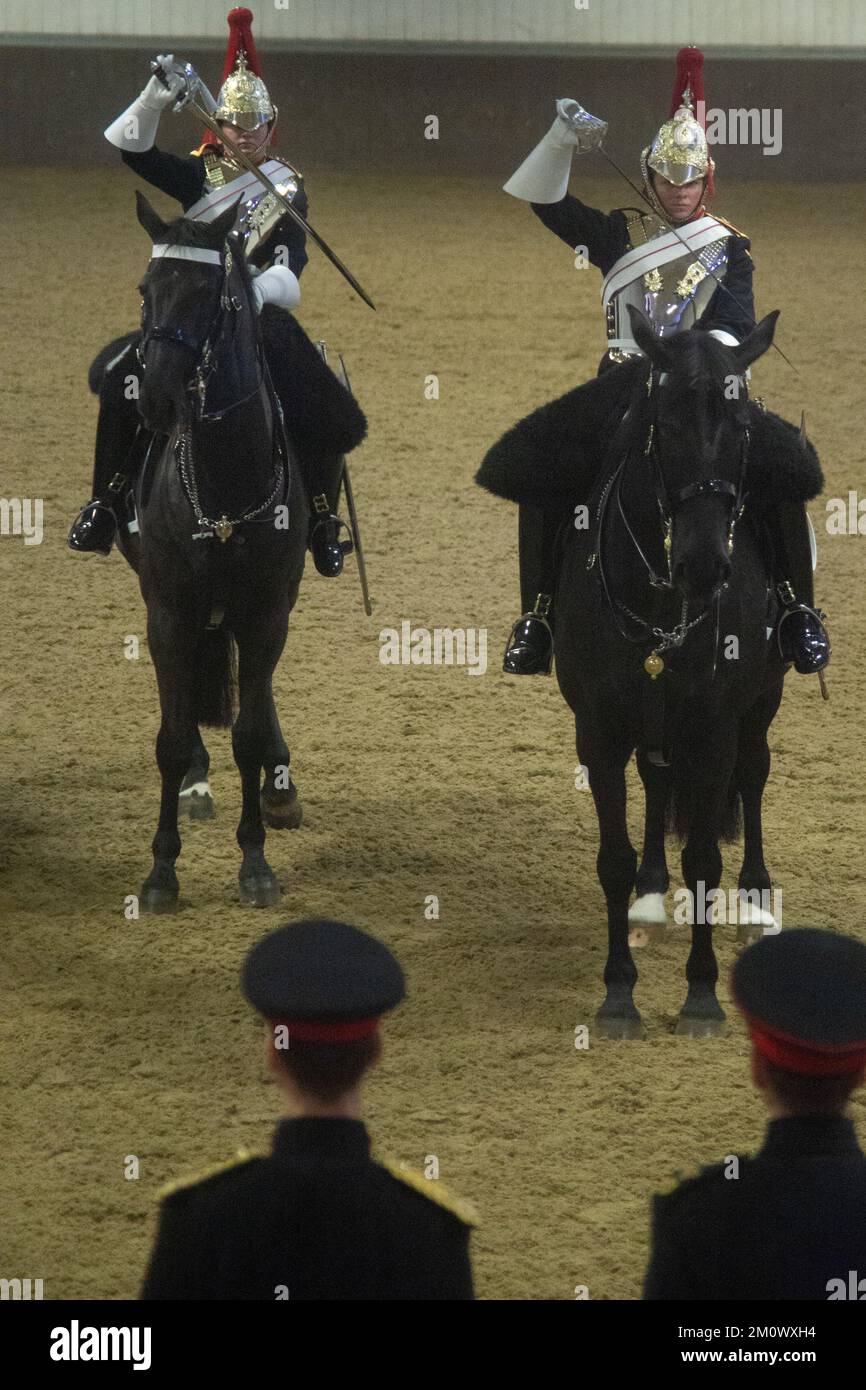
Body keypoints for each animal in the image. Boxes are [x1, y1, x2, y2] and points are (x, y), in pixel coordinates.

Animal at [111, 193, 308, 911]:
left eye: (207, 295)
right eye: (146, 289)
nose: (159, 398)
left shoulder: (267, 611)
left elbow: (248, 734)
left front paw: (254, 862)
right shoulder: (168, 612)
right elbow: (169, 740)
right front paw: (161, 871)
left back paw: (279, 785)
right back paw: (199, 780)